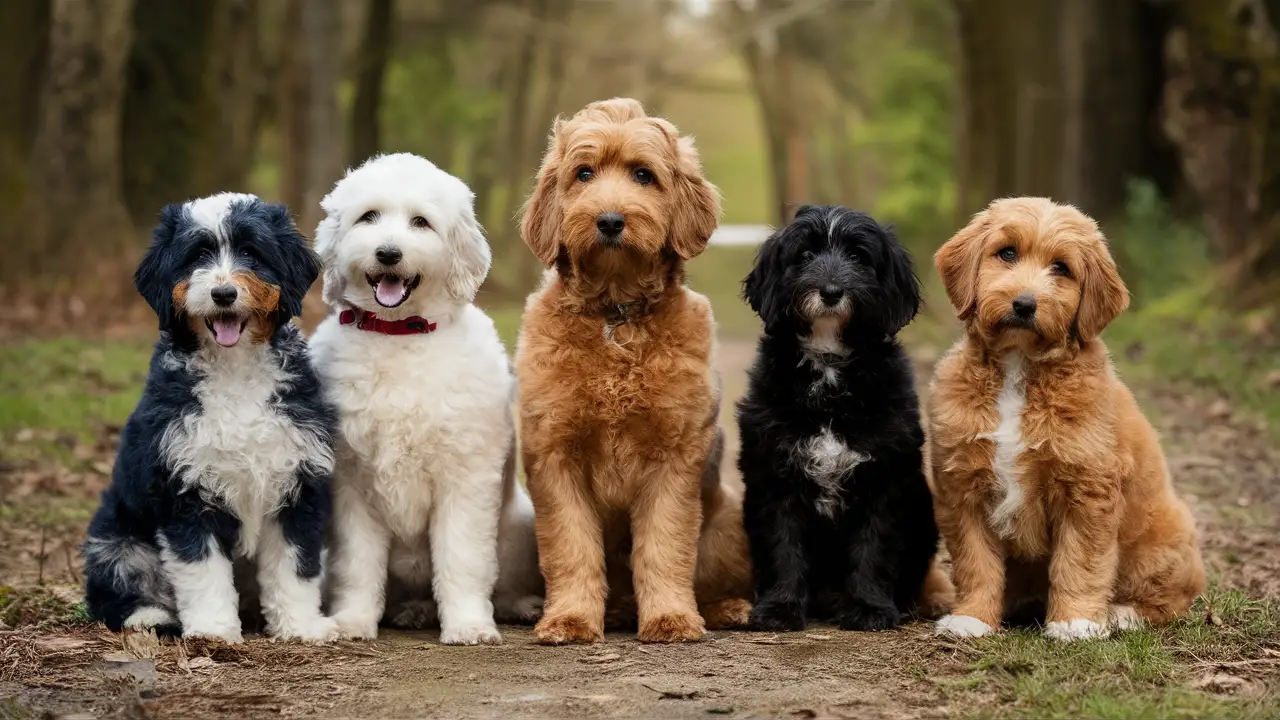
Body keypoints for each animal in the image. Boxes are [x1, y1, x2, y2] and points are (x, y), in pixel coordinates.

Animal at [79, 193, 340, 640]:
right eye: (197, 256)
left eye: (251, 252)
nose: (223, 294)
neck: (234, 371)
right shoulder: (184, 489)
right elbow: (202, 571)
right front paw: (214, 631)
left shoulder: (297, 484)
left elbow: (296, 566)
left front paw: (301, 626)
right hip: (115, 538)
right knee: (111, 592)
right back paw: (148, 616)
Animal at [314, 152, 545, 645]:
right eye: (369, 217)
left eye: (421, 222)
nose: (388, 253)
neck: (400, 334)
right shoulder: (350, 485)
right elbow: (357, 565)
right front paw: (353, 620)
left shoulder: (465, 478)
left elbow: (463, 559)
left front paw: (469, 625)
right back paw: (413, 610)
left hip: (519, 527)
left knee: (502, 581)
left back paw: (520, 605)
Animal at [514, 98, 752, 640]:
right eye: (583, 173)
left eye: (644, 174)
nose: (609, 220)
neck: (615, 318)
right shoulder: (555, 457)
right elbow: (571, 548)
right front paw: (570, 619)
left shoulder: (674, 459)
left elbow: (664, 547)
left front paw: (670, 618)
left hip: (729, 519)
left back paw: (727, 608)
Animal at [737, 204, 957, 630]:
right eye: (805, 254)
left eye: (858, 256)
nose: (831, 292)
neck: (829, 369)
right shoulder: (775, 476)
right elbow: (783, 545)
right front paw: (780, 607)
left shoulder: (886, 479)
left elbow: (874, 546)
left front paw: (870, 607)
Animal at [926, 194, 1203, 638]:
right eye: (1007, 253)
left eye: (1062, 268)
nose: (1024, 304)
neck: (1019, 370)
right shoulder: (963, 487)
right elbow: (975, 561)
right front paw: (973, 618)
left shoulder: (1087, 488)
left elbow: (1080, 562)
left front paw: (1075, 622)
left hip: (1160, 543)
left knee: (1173, 600)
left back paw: (1123, 613)